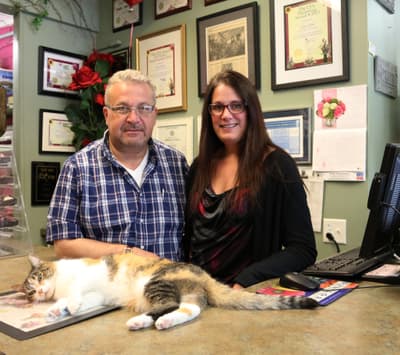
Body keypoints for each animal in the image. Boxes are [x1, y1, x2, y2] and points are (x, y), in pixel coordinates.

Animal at [21, 253, 318, 330]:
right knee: (190, 308)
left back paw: (141, 321)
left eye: (38, 276)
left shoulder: (83, 278)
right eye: (29, 293)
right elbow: (78, 300)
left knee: (169, 305)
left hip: (155, 282)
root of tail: (204, 275)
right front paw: (57, 311)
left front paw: (66, 307)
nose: (38, 292)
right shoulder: (97, 296)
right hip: (182, 293)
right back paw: (161, 322)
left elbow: (74, 293)